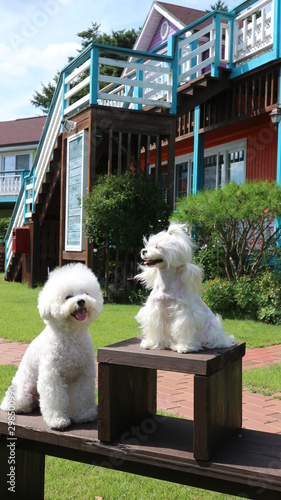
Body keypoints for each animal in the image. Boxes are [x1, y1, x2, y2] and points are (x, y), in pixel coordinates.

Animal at [0, 262, 103, 430]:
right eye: (68, 296)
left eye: (85, 293)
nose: (81, 301)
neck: (71, 336)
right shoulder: (52, 375)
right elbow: (55, 398)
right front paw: (58, 420)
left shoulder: (83, 375)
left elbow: (82, 396)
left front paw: (84, 415)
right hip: (23, 390)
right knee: (16, 402)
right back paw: (19, 407)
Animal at [135, 221, 234, 354]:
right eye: (148, 246)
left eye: (157, 247)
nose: (144, 251)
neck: (166, 283)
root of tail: (224, 338)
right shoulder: (155, 309)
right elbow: (155, 327)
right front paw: (151, 344)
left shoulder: (185, 314)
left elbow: (183, 329)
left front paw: (184, 347)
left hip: (210, 327)